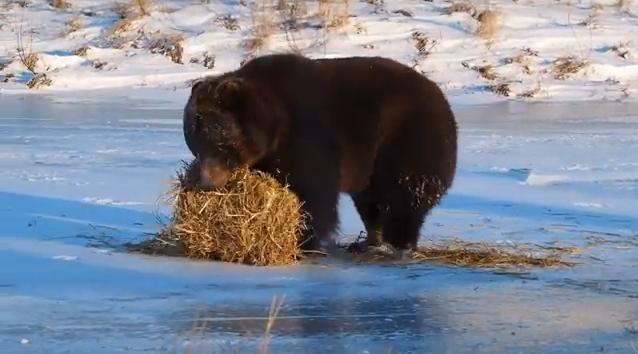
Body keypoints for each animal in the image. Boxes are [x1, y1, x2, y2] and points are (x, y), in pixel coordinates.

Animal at [182, 52, 458, 252]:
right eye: (194, 143)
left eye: (218, 140)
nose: (206, 182)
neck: (275, 126)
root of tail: (441, 98)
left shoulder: (309, 135)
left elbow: (315, 192)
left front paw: (306, 239)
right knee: (370, 202)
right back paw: (369, 241)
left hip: (406, 137)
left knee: (404, 194)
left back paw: (396, 244)